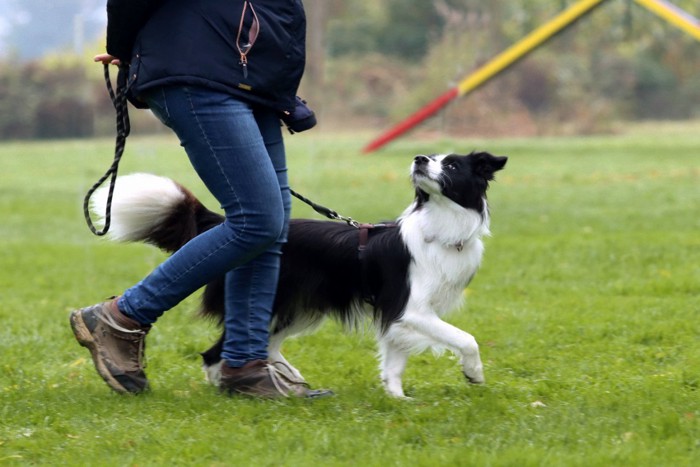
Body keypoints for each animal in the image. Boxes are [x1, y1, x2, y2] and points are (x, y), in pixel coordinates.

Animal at [95, 152, 506, 396]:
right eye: (432, 158)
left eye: (450, 165)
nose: (419, 159)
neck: (440, 226)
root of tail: (226, 225)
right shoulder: (410, 308)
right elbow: (467, 339)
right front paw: (474, 374)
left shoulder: (399, 314)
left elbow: (394, 359)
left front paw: (397, 399)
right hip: (276, 301)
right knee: (215, 352)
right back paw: (228, 387)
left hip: (297, 307)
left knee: (267, 344)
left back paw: (286, 377)